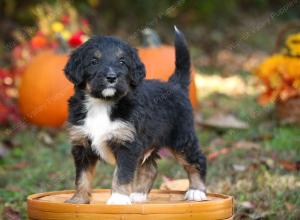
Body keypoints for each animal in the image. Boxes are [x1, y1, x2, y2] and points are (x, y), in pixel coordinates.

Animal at [64, 27, 206, 205]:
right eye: (93, 61)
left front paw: (118, 198)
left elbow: (122, 175)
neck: (102, 103)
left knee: (197, 160)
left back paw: (196, 191)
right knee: (150, 167)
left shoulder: (127, 144)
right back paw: (138, 194)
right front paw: (78, 200)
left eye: (122, 62)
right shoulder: (82, 144)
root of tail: (176, 85)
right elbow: (82, 176)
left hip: (181, 138)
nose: (111, 77)